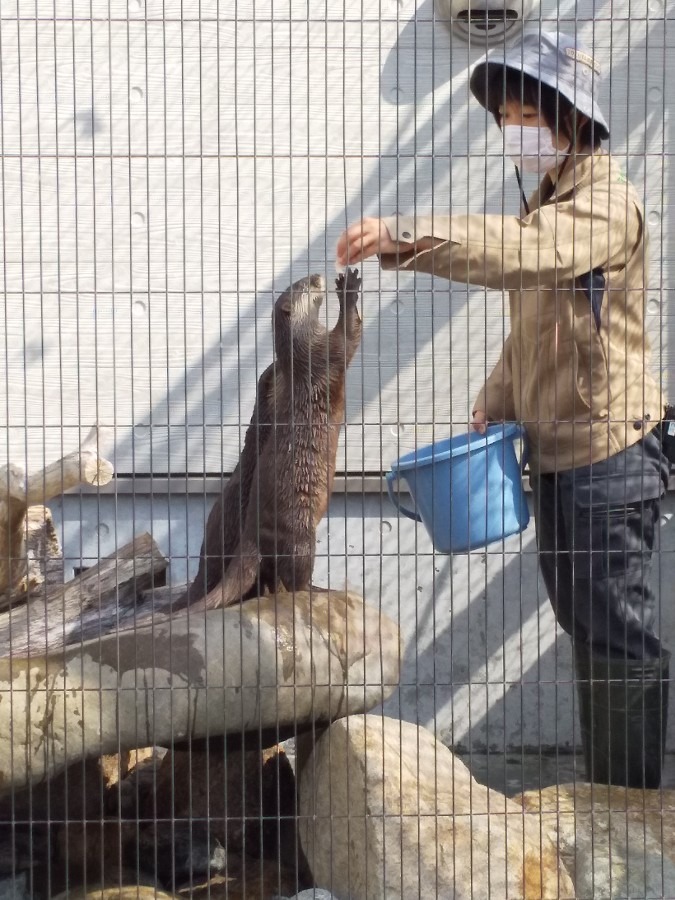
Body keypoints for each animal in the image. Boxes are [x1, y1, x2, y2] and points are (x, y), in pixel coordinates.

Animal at [185, 268, 364, 612]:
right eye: (303, 285)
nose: (317, 275)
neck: (300, 356)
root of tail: (251, 536)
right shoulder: (325, 353)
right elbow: (349, 336)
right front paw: (348, 289)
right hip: (300, 533)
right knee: (296, 577)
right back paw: (319, 590)